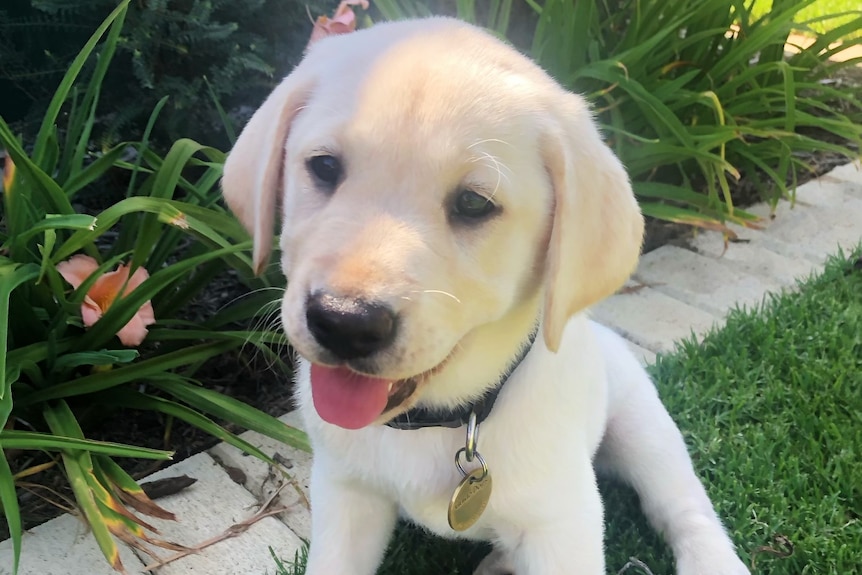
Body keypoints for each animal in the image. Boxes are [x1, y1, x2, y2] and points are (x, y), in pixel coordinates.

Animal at [221, 18, 748, 575]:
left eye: (474, 203)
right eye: (323, 167)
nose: (344, 323)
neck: (445, 418)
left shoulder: (564, 524)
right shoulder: (345, 493)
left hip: (645, 426)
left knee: (685, 506)